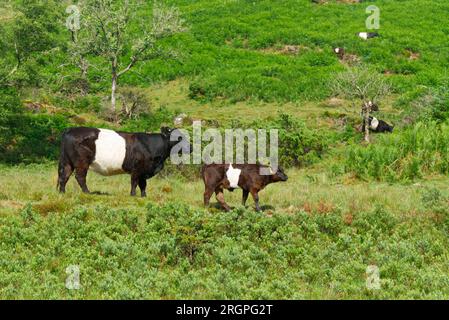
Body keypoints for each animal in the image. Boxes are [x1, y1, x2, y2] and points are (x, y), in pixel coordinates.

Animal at [57, 126, 190, 196]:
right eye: (179, 138)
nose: (191, 147)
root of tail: (70, 130)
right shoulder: (137, 169)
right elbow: (135, 182)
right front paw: (133, 195)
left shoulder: (144, 171)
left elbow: (143, 184)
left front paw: (144, 196)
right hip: (81, 162)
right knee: (80, 177)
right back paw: (87, 192)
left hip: (68, 162)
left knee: (64, 176)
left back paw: (62, 192)